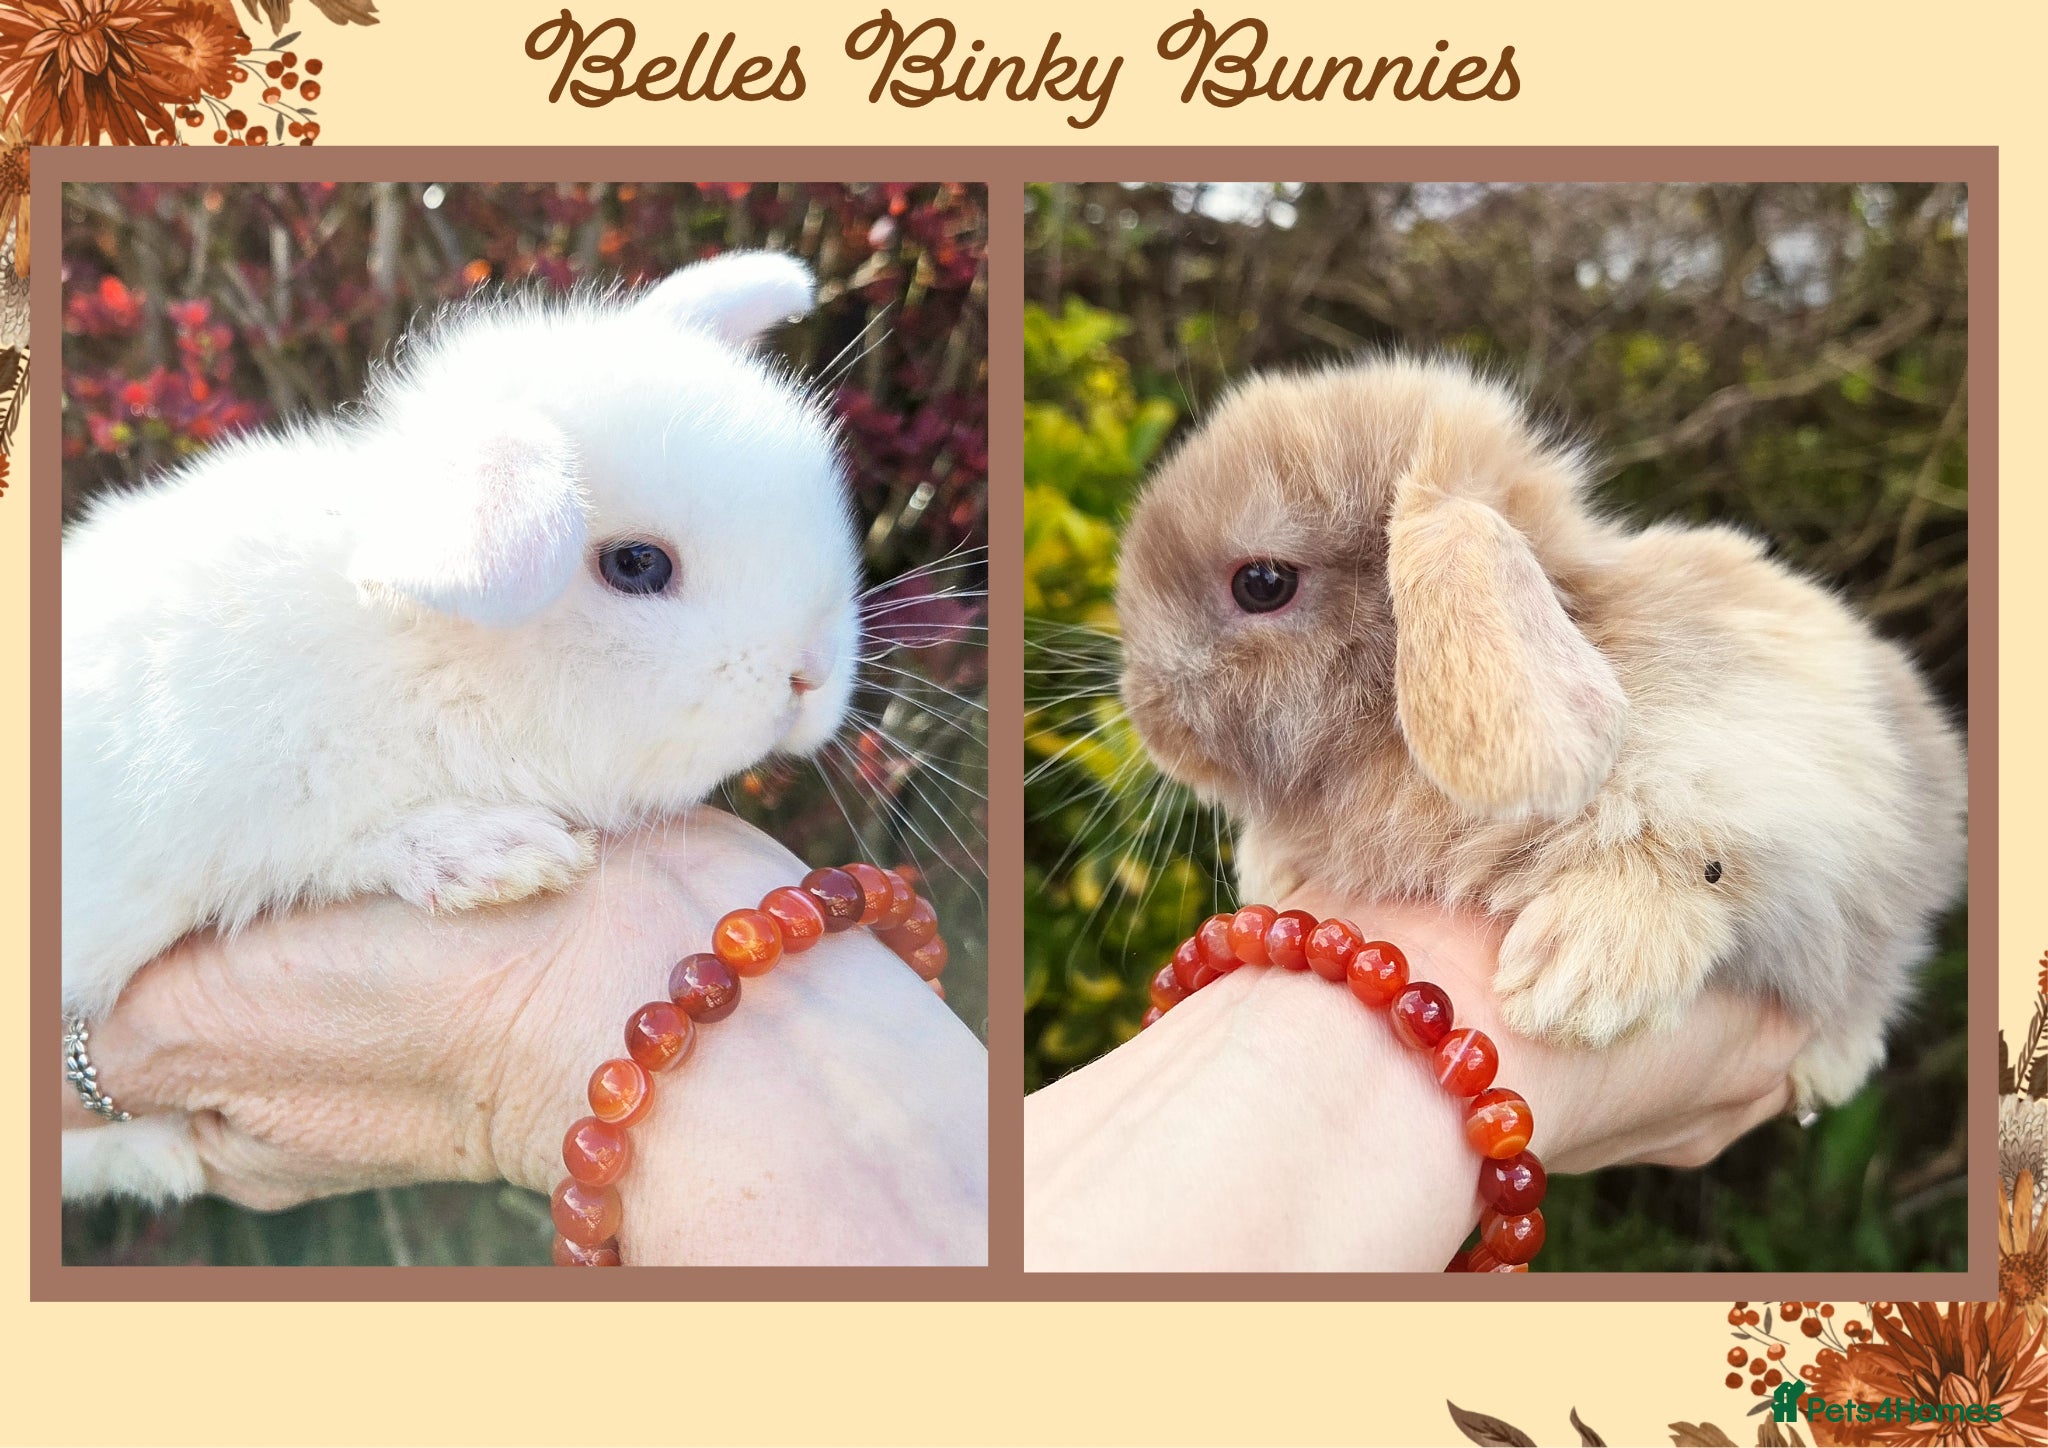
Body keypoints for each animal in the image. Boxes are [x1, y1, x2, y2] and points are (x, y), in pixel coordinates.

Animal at [62, 251, 863, 1202]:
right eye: (637, 565)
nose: (811, 675)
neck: (432, 656)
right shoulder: (252, 811)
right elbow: (342, 844)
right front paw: (497, 856)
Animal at [1116, 353, 1965, 1113]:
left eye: (1262, 584)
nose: (1149, 719)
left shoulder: (1773, 783)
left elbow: (1690, 856)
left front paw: (1576, 982)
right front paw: (1270, 871)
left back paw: (1827, 1066)